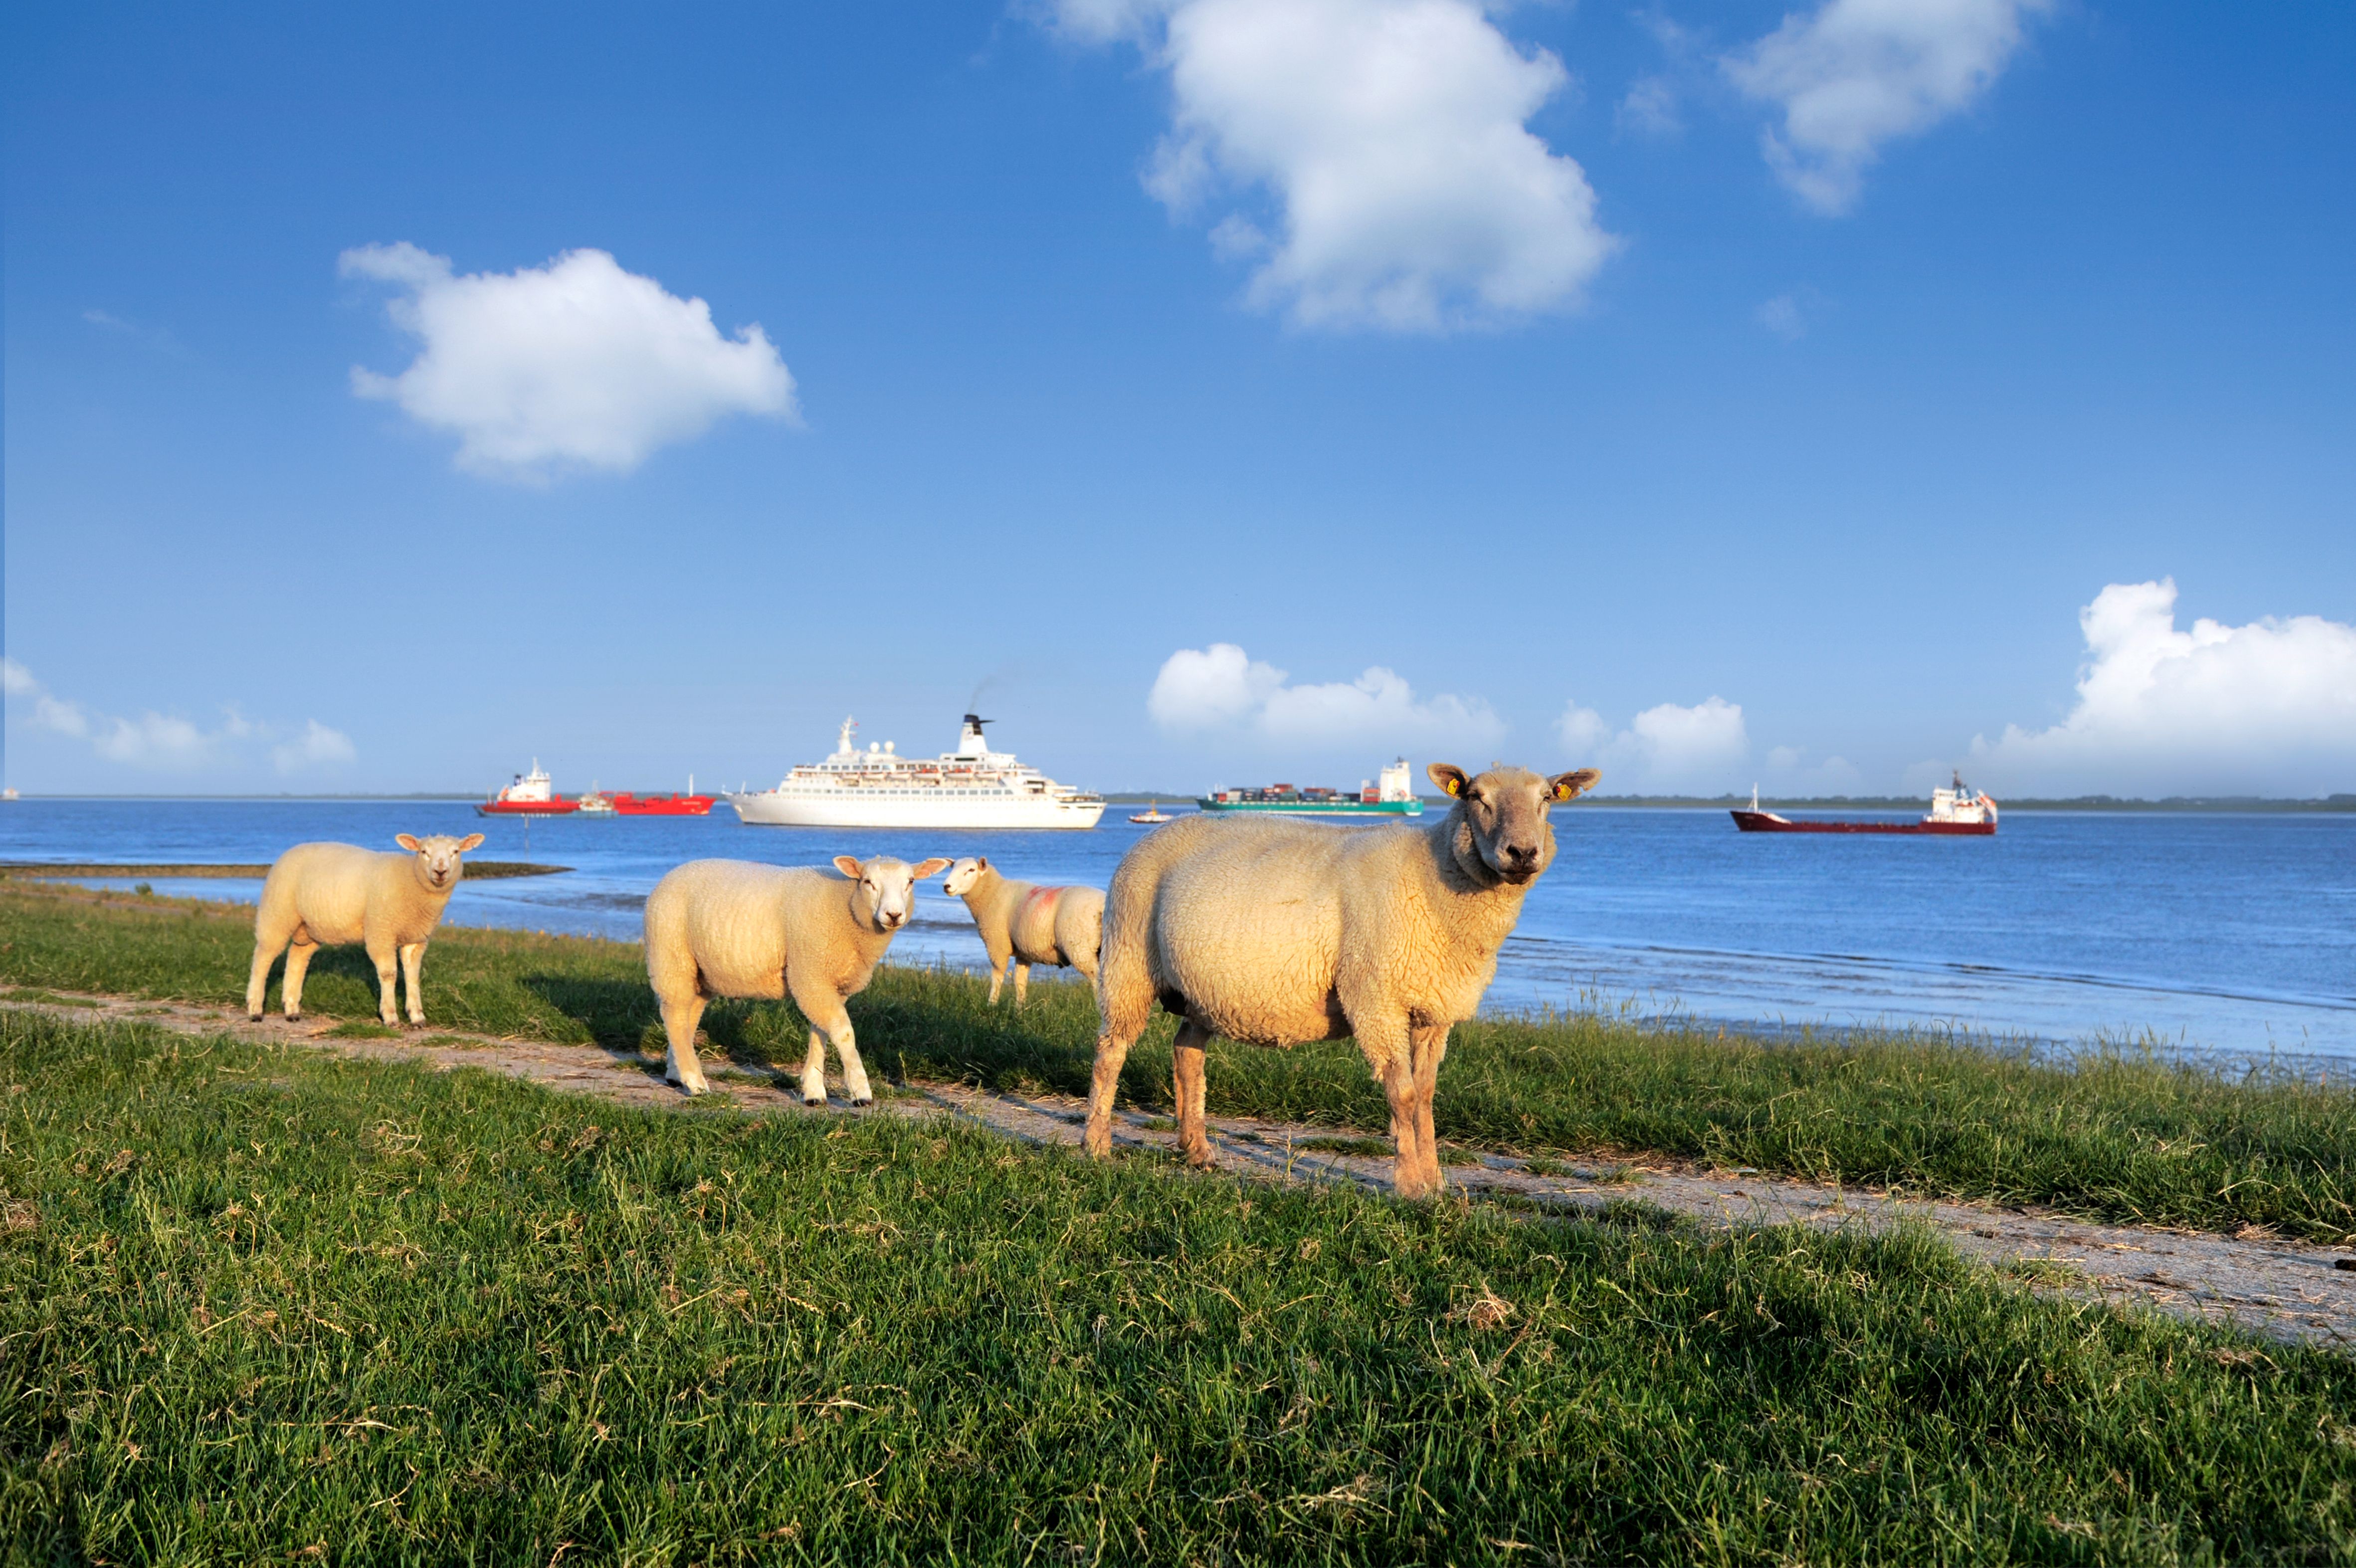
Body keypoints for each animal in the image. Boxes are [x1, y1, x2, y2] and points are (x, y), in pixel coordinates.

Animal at [245, 828, 487, 1026]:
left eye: (456, 851)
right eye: (423, 852)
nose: (440, 871)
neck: (412, 882)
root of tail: (287, 853)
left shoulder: (416, 938)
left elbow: (412, 975)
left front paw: (417, 1016)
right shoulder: (381, 931)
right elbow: (389, 974)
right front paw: (390, 1016)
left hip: (310, 927)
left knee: (297, 958)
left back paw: (292, 1010)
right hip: (277, 914)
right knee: (263, 959)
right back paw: (255, 1009)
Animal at [645, 857, 947, 1097]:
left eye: (910, 882)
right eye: (867, 882)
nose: (893, 915)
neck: (845, 906)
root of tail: (670, 876)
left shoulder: (827, 981)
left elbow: (821, 1032)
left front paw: (814, 1090)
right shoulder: (810, 973)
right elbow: (844, 1032)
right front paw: (860, 1091)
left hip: (702, 971)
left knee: (688, 1016)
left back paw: (676, 1074)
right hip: (671, 956)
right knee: (674, 1014)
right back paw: (696, 1083)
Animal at [938, 857, 1102, 1003]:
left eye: (971, 870)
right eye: (952, 868)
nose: (947, 886)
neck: (993, 893)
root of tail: (1101, 904)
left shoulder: (998, 945)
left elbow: (997, 977)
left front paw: (992, 1005)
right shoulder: (1024, 952)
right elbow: (1020, 982)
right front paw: (1020, 1010)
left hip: (1079, 946)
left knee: (1096, 977)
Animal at [1084, 767, 1602, 1196]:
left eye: (1547, 798)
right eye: (1477, 797)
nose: (1523, 853)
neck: (1431, 874)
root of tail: (1158, 830)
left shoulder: (1434, 1007)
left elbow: (1427, 1097)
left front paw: (1436, 1182)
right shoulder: (1375, 996)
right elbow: (1403, 1094)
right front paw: (1411, 1186)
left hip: (1204, 990)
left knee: (1187, 1054)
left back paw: (1198, 1151)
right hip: (1129, 959)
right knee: (1110, 1053)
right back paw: (1096, 1144)